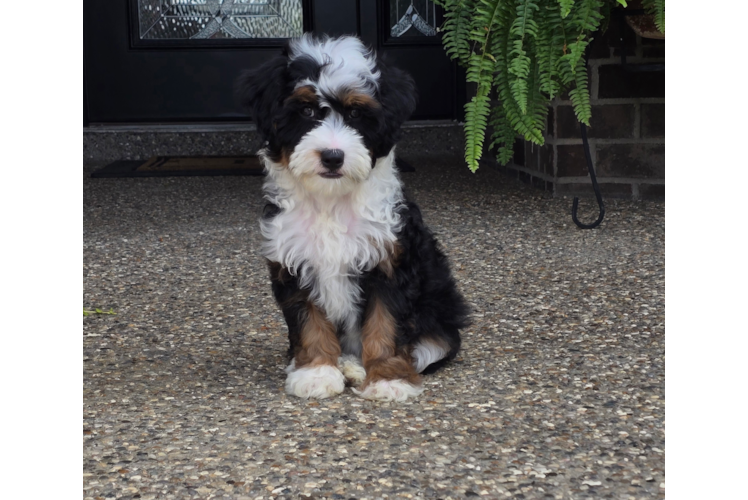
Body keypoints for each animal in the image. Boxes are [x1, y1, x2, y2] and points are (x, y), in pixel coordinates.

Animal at [237, 34, 468, 402]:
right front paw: (316, 372)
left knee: (431, 346)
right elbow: (310, 323)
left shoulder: (389, 262)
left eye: (357, 113)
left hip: (442, 308)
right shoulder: (294, 261)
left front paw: (388, 378)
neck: (331, 201)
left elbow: (385, 325)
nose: (333, 156)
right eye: (306, 111)